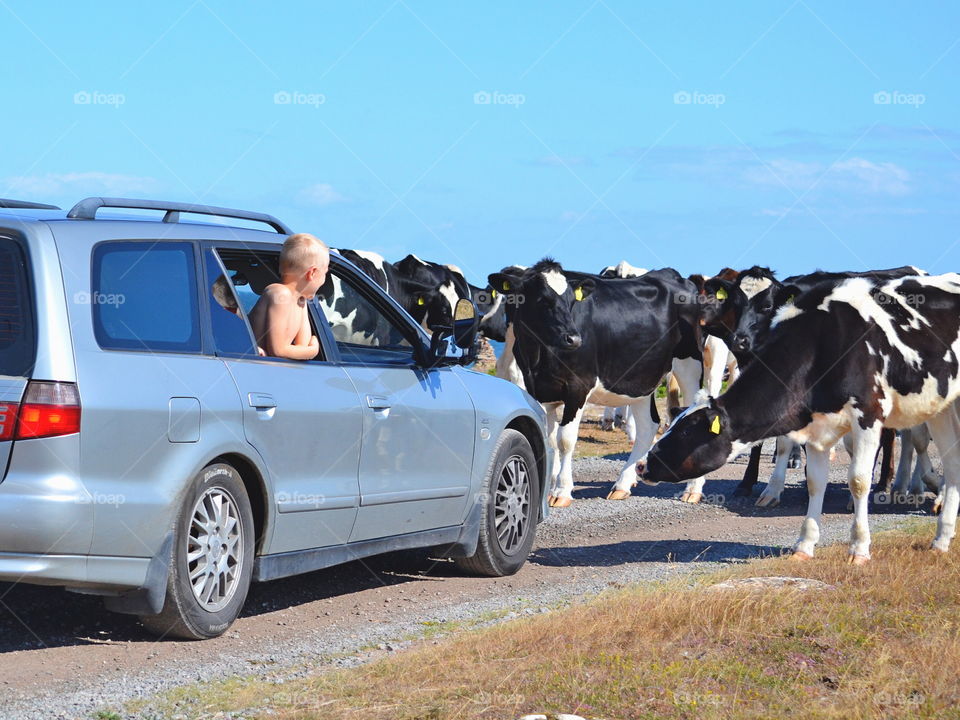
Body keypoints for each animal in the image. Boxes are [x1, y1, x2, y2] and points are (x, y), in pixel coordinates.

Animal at [488, 258, 704, 506]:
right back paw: (622, 484)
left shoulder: (578, 386)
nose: (574, 338)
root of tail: (672, 275)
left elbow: (565, 440)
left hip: (689, 364)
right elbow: (549, 439)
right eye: (543, 300)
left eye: (572, 301)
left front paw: (561, 491)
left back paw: (692, 489)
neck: (538, 356)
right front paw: (550, 487)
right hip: (642, 376)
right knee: (648, 425)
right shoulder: (538, 390)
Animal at [636, 276, 960, 564]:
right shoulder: (817, 427)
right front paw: (804, 546)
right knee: (952, 461)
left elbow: (858, 481)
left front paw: (859, 549)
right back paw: (941, 539)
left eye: (686, 432)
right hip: (943, 407)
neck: (827, 340)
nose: (641, 465)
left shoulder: (867, 415)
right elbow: (816, 482)